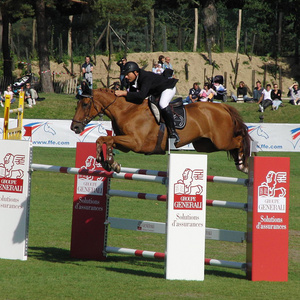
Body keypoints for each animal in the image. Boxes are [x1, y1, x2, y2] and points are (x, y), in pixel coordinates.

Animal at [70, 88, 251, 173]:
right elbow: (104, 139)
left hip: (221, 140)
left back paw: (243, 165)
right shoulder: (126, 143)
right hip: (204, 145)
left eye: (85, 104)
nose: (75, 127)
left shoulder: (136, 143)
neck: (127, 110)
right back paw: (240, 163)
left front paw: (109, 161)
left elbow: (106, 139)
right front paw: (108, 162)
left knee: (239, 140)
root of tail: (222, 106)